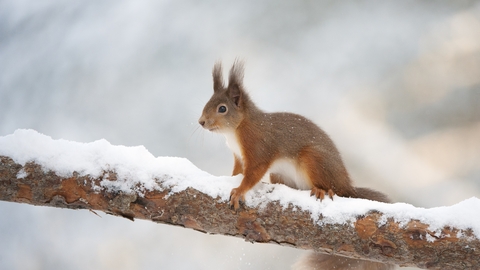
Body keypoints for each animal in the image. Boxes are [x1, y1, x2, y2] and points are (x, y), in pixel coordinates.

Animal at [199, 61, 394, 270]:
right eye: (208, 102)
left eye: (222, 109)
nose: (201, 122)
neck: (236, 129)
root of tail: (348, 187)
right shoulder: (238, 157)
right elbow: (238, 171)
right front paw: (231, 179)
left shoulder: (259, 148)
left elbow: (253, 173)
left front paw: (239, 191)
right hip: (281, 174)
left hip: (313, 159)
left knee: (333, 188)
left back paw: (322, 190)